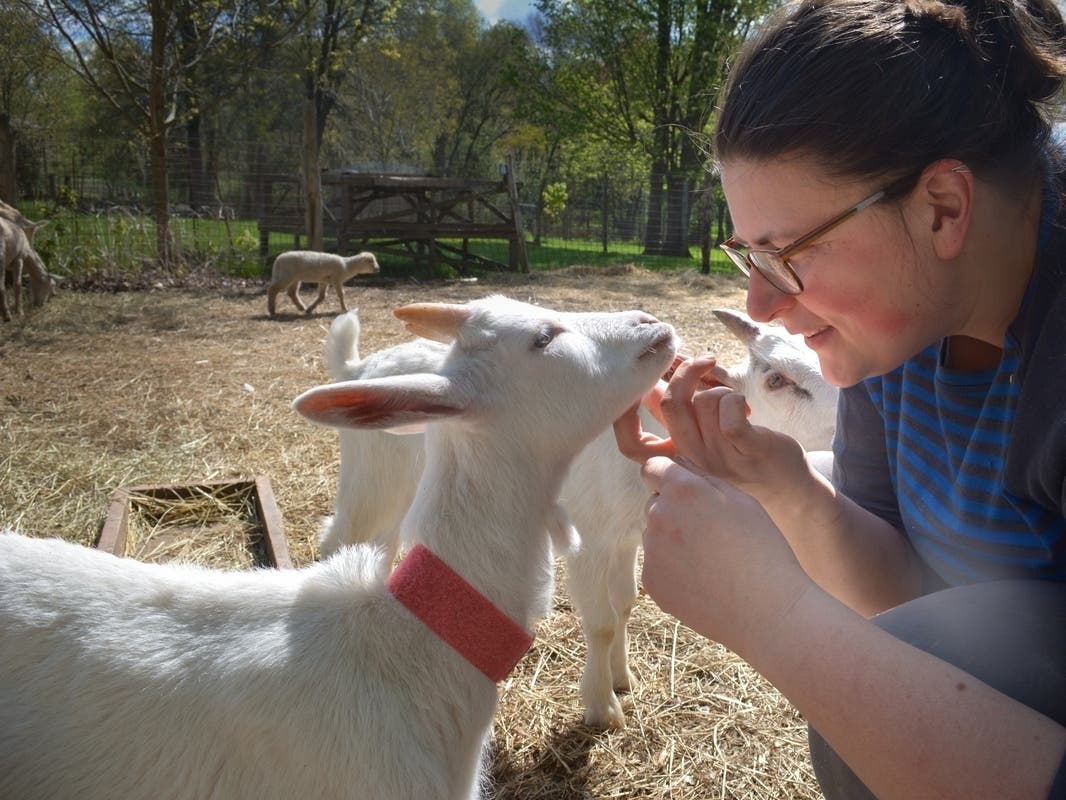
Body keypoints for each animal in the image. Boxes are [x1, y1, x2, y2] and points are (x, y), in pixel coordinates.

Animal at [315, 302, 840, 729]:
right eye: (777, 379)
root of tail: (362, 367)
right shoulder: (589, 538)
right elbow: (602, 621)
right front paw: (602, 706)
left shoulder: (629, 534)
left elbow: (625, 602)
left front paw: (623, 677)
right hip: (372, 481)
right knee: (339, 535)